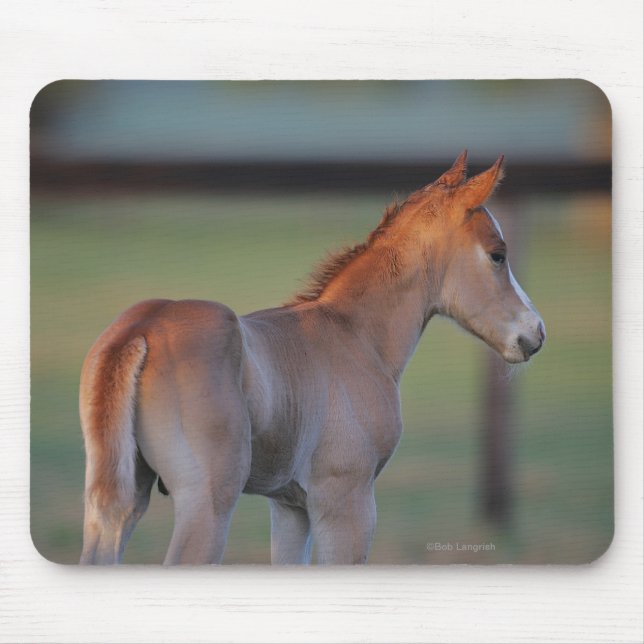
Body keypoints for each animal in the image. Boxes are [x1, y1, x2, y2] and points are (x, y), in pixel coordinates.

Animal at [79, 152, 545, 565]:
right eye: (498, 254)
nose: (536, 334)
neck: (354, 335)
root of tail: (141, 329)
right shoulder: (346, 501)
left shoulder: (290, 507)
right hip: (207, 501)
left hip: (119, 498)